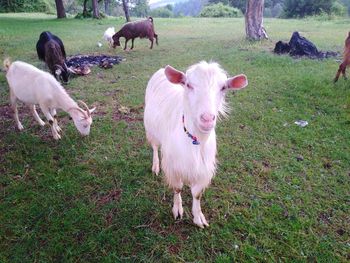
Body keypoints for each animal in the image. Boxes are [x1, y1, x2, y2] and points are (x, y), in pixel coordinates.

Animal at [144, 60, 247, 228]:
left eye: (223, 87)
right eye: (188, 84)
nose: (207, 119)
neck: (195, 141)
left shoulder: (203, 168)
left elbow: (197, 194)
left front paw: (199, 217)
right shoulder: (174, 165)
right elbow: (177, 188)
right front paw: (177, 210)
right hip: (150, 128)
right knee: (154, 147)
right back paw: (155, 166)